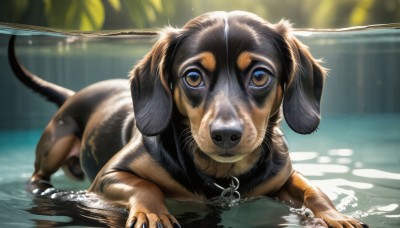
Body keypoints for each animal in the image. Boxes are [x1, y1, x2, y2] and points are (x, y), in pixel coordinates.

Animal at [7, 11, 368, 228]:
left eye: (260, 76)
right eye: (193, 77)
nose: (226, 134)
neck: (221, 176)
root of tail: (73, 94)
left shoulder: (283, 176)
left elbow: (312, 190)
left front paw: (334, 216)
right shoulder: (108, 177)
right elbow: (145, 185)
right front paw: (153, 213)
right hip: (55, 143)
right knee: (38, 173)